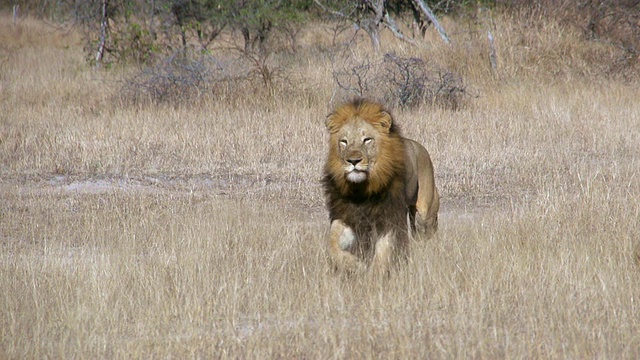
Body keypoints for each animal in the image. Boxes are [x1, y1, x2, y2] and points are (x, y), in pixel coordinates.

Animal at [320, 98, 440, 276]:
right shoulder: (346, 215)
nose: (353, 161)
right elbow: (332, 244)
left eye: (367, 140)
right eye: (344, 141)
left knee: (425, 235)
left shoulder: (387, 215)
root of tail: (420, 147)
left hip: (425, 213)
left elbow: (383, 250)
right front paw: (354, 265)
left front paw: (376, 275)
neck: (362, 189)